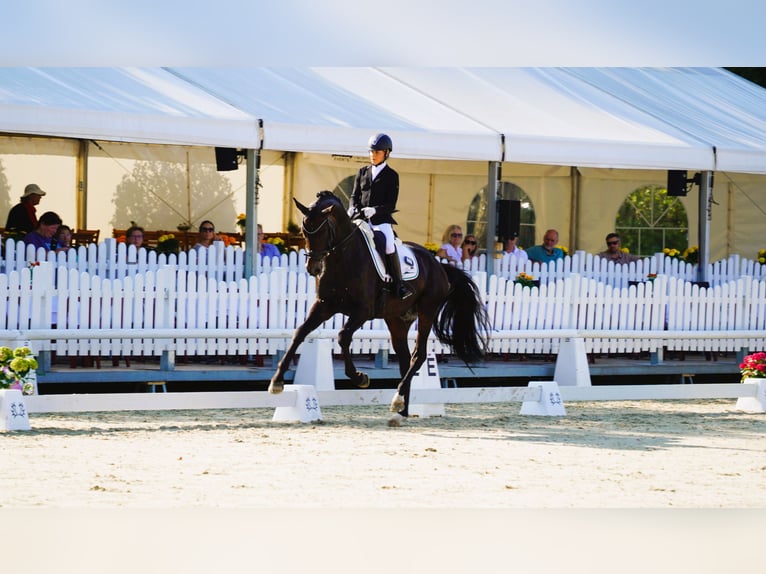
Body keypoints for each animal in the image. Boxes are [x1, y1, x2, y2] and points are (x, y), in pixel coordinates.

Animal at [268, 191, 488, 426]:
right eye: (304, 231)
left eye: (324, 230)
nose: (313, 268)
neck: (343, 257)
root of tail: (438, 264)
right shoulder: (324, 306)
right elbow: (299, 333)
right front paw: (277, 382)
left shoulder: (362, 312)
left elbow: (343, 337)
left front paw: (360, 378)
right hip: (397, 320)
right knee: (405, 359)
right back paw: (400, 411)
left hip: (427, 311)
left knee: (418, 356)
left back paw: (398, 401)